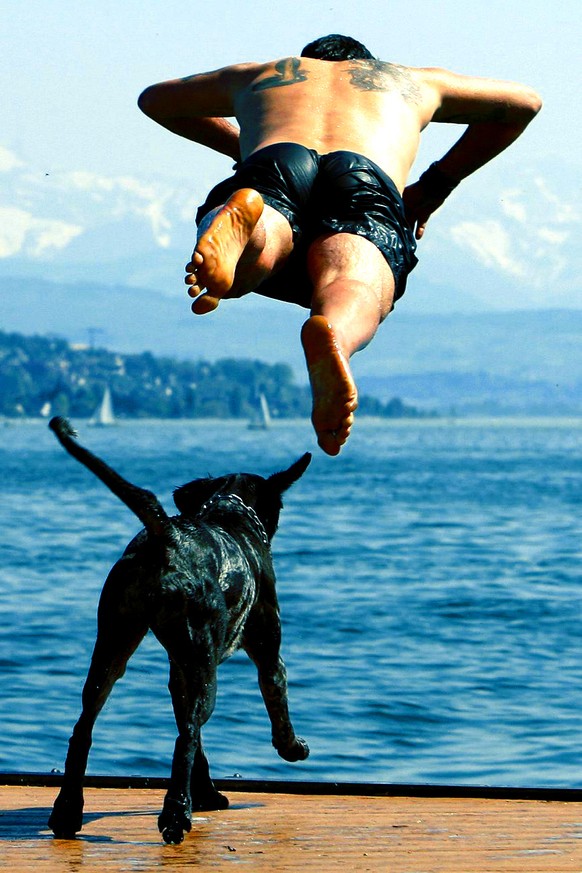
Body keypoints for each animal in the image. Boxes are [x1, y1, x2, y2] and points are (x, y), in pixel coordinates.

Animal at [46, 418, 310, 840]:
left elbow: (196, 741)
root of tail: (167, 537)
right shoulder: (268, 653)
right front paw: (293, 747)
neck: (229, 513)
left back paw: (68, 811)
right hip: (202, 667)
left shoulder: (180, 671)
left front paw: (206, 794)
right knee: (184, 736)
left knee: (83, 728)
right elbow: (275, 707)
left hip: (113, 647)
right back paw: (175, 815)